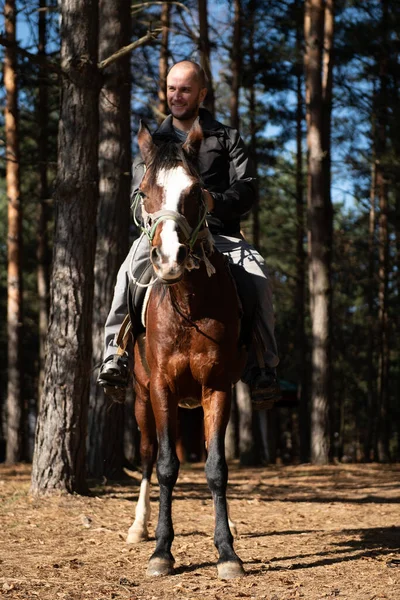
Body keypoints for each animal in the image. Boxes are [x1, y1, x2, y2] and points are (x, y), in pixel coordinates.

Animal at [126, 119, 245, 580]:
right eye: (144, 191)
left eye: (196, 191)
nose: (170, 257)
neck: (189, 305)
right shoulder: (161, 388)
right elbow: (164, 467)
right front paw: (161, 550)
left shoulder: (218, 387)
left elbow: (216, 468)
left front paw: (227, 552)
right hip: (142, 399)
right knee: (146, 456)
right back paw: (139, 527)